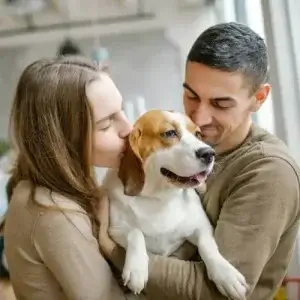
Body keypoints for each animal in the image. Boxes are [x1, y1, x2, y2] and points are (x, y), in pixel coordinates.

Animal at [102, 110, 247, 300]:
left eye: (198, 134)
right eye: (170, 133)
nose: (209, 153)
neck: (160, 198)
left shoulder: (202, 227)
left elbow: (208, 247)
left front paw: (226, 275)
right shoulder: (115, 229)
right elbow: (135, 233)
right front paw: (136, 269)